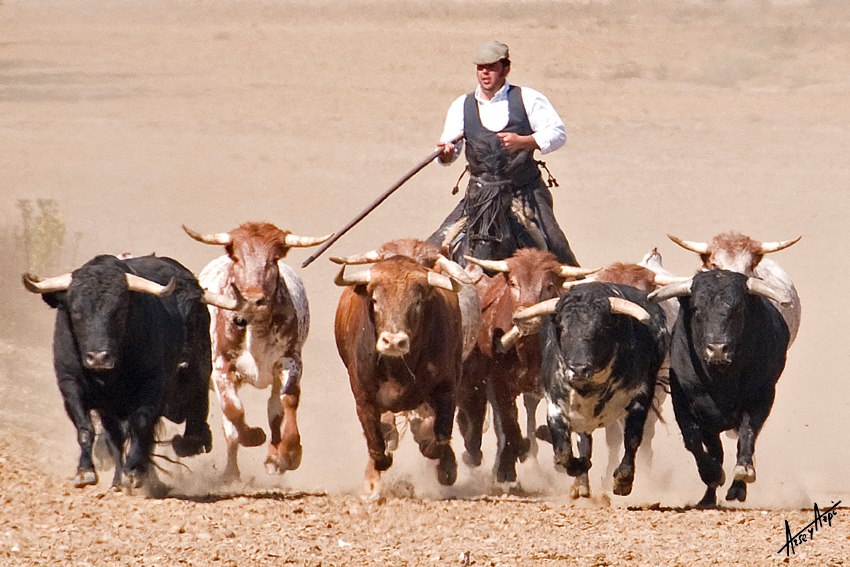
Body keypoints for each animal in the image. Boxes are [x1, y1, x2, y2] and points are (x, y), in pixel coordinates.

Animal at [28, 258, 217, 492]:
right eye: (76, 312)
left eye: (118, 311)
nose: (98, 357)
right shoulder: (71, 386)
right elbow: (86, 429)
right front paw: (85, 472)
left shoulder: (151, 387)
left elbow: (140, 426)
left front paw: (134, 472)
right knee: (116, 439)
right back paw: (120, 480)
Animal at [332, 255, 464, 500]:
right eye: (375, 300)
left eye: (418, 301)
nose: (393, 342)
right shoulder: (363, 397)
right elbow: (376, 443)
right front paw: (378, 468)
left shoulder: (446, 391)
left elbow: (439, 437)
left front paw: (446, 467)